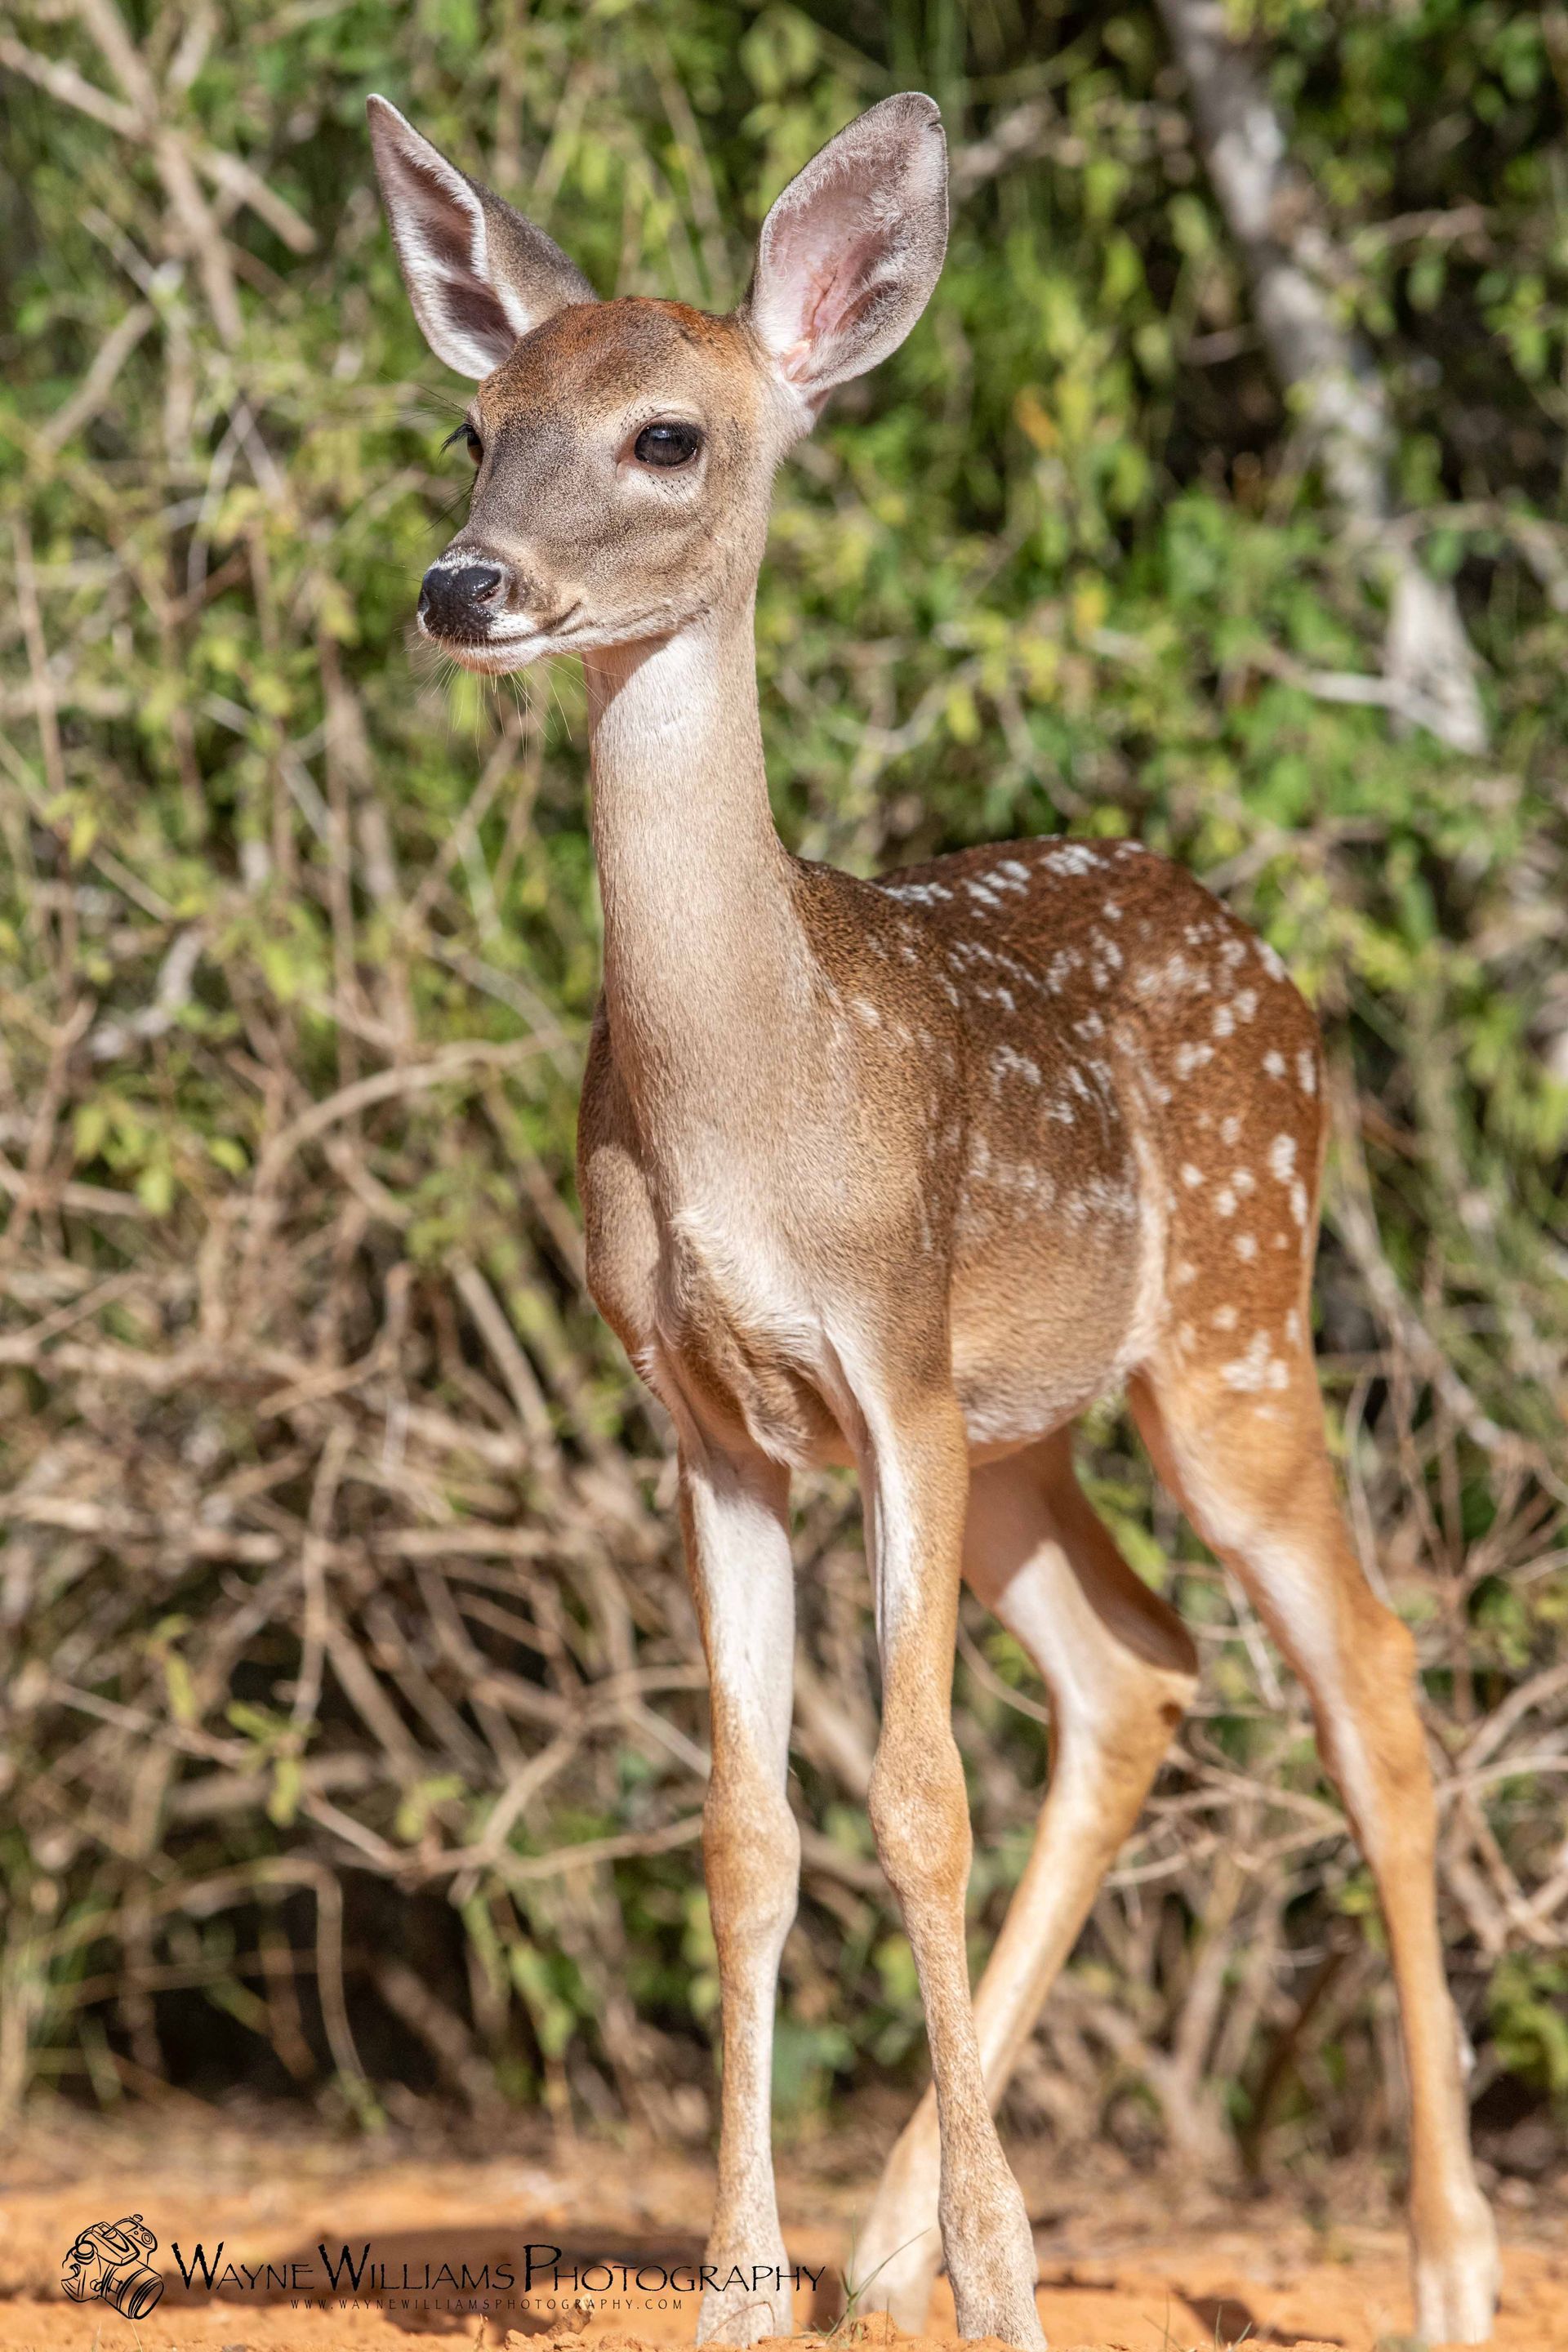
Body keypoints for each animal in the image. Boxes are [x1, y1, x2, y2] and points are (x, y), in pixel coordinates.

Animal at [367, 89, 1499, 2352]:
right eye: (477, 422)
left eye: (664, 435)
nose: (465, 584)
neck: (748, 1096)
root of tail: (1266, 960)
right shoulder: (707, 1411)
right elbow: (748, 1829)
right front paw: (744, 2288)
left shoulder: (882, 1358)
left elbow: (914, 1800)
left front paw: (1007, 2289)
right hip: (1029, 1429)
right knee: (1136, 1669)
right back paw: (890, 2247)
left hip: (1228, 1327)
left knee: (1370, 1672)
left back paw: (1442, 2261)